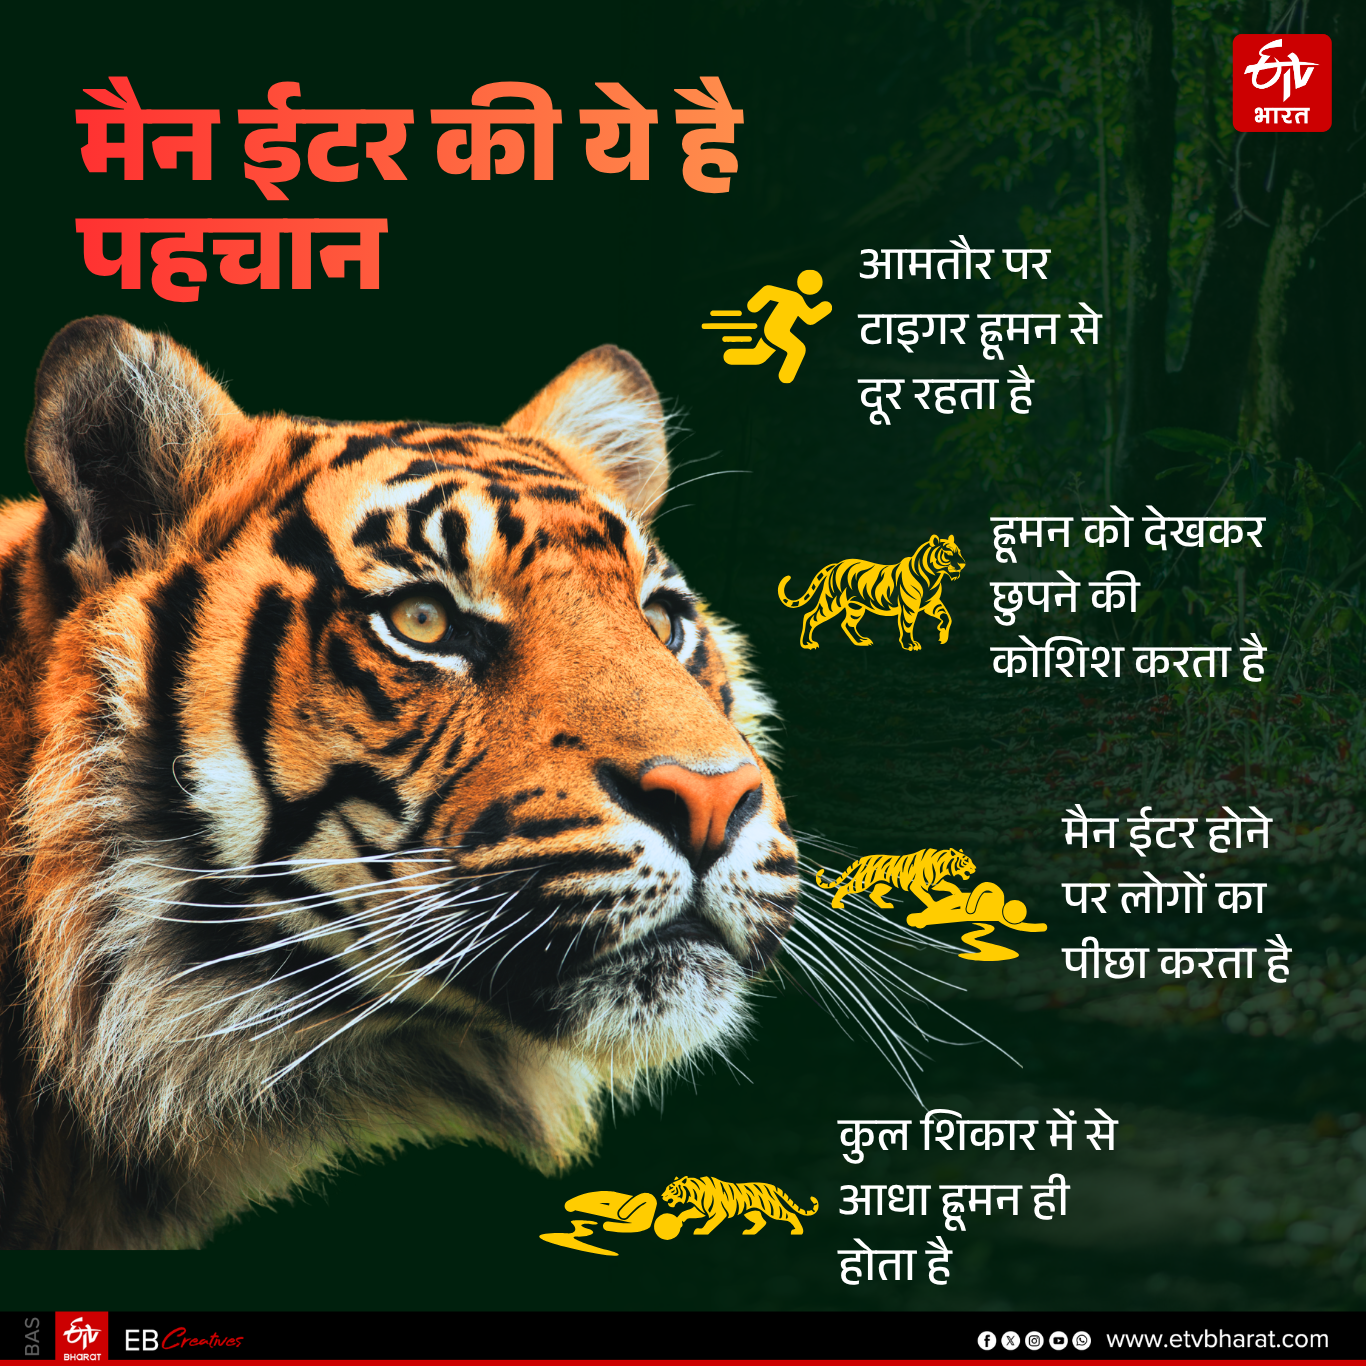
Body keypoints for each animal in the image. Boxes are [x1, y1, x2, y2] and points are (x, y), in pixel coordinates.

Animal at [661, 1175, 818, 1235]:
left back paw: (798, 1231)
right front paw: (678, 1222)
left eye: (671, 1189)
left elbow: (709, 1223)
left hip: (773, 1208)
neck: (694, 1195)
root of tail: (770, 1186)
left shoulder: (718, 1213)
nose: (662, 1196)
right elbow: (685, 1213)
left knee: (791, 1215)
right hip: (751, 1212)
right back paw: (750, 1232)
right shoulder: (700, 1210)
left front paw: (702, 1231)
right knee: (762, 1222)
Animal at [777, 534, 965, 650]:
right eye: (949, 553)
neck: (934, 577)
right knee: (810, 617)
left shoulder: (931, 603)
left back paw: (861, 641)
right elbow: (907, 625)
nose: (963, 564)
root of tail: (836, 564)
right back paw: (808, 643)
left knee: (847, 624)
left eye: (959, 552)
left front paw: (942, 635)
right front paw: (910, 645)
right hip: (832, 602)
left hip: (855, 607)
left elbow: (946, 616)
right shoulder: (910, 607)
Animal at [815, 849, 976, 911]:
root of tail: (864, 859)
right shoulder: (918, 886)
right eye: (966, 861)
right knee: (844, 888)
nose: (974, 868)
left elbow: (952, 887)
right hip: (863, 881)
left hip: (884, 885)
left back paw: (885, 905)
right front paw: (934, 906)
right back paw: (836, 904)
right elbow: (927, 897)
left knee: (873, 894)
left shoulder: (935, 883)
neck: (942, 866)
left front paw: (959, 897)